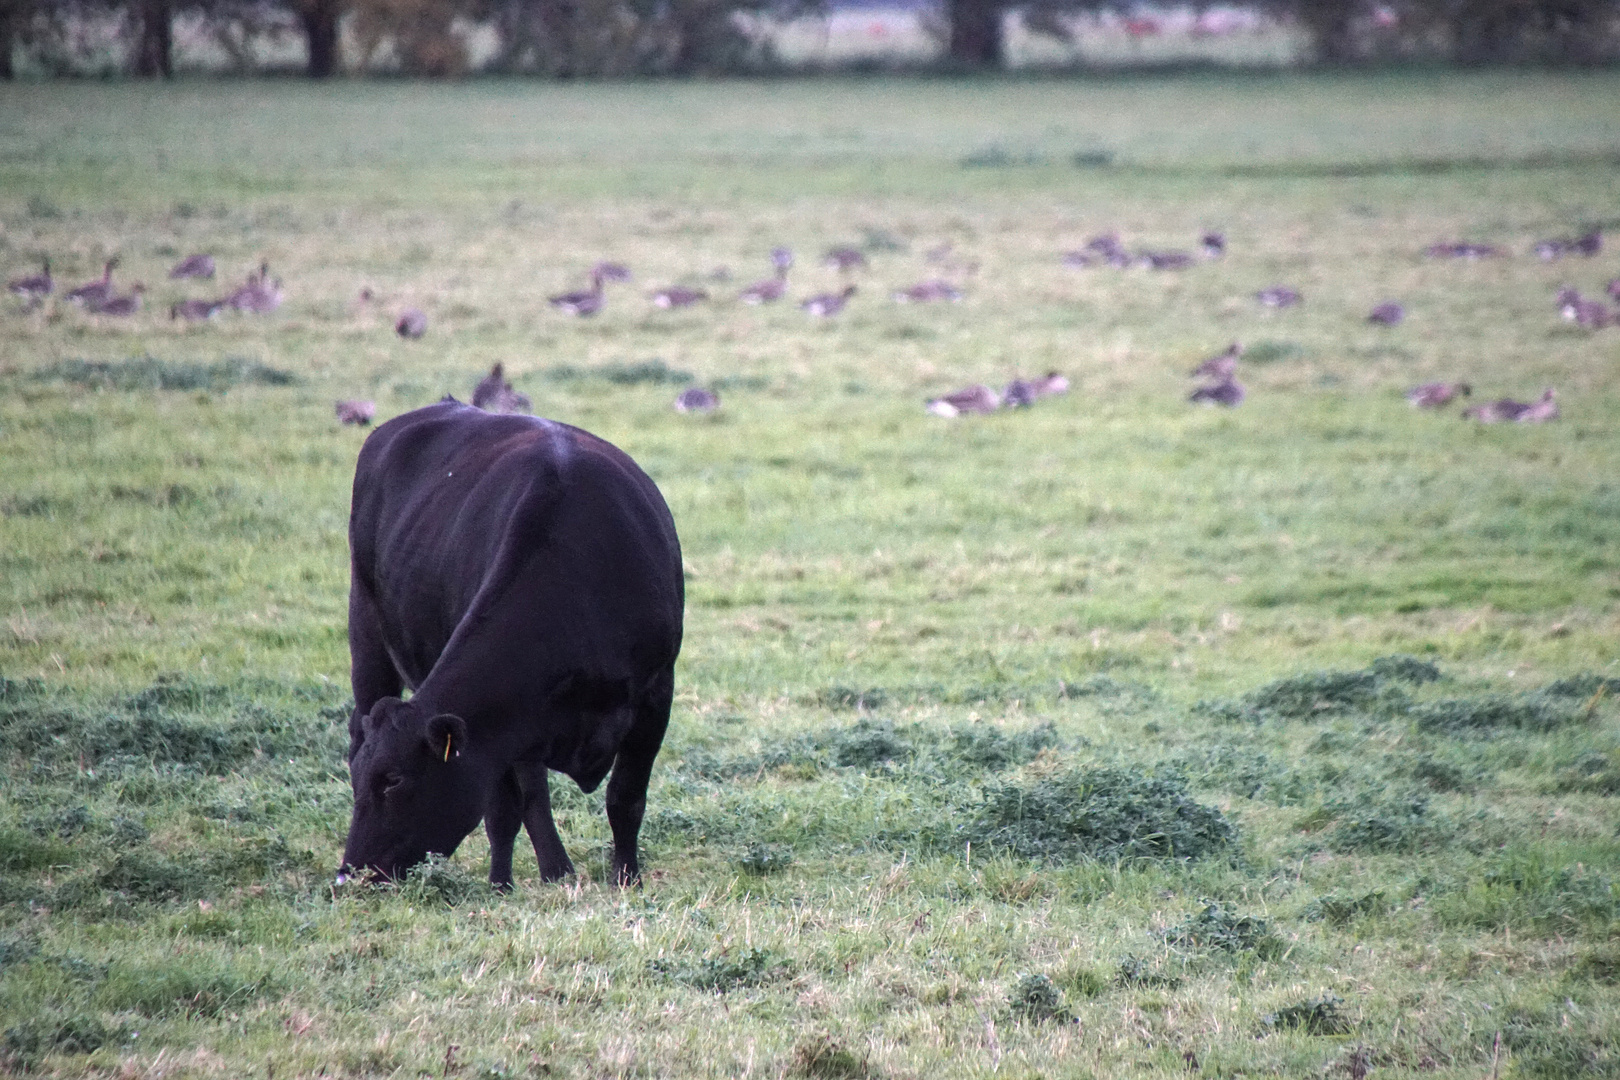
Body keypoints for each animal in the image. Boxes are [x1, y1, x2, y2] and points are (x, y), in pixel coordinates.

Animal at [341, 396, 683, 887]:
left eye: (394, 780)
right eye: (358, 781)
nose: (351, 873)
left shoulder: (656, 693)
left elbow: (625, 797)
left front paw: (627, 878)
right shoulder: (505, 727)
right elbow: (511, 806)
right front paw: (511, 882)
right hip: (366, 633)